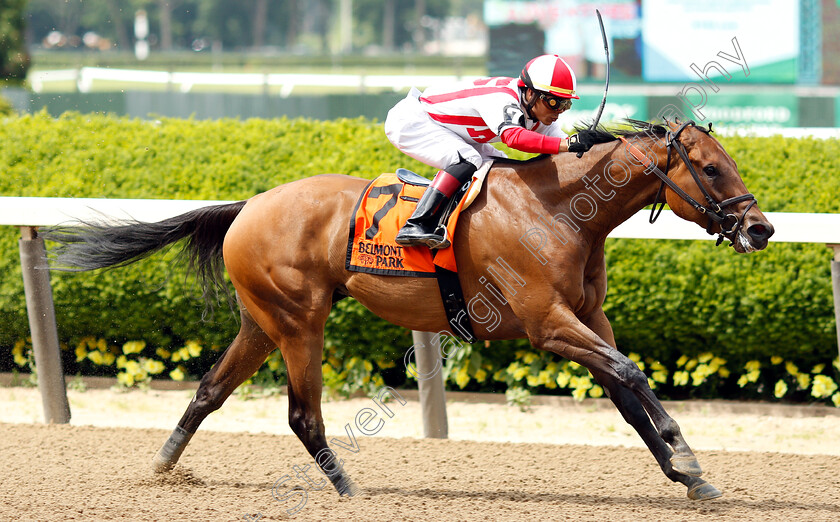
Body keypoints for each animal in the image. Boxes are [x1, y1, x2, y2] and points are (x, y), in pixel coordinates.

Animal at [42, 119, 772, 500]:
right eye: (711, 168)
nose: (760, 228)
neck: (560, 210)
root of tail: (249, 205)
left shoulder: (589, 320)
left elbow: (623, 386)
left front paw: (686, 474)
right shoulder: (546, 325)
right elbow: (631, 374)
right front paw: (687, 458)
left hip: (262, 322)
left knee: (208, 392)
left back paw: (164, 466)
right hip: (300, 320)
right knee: (302, 413)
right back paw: (347, 490)